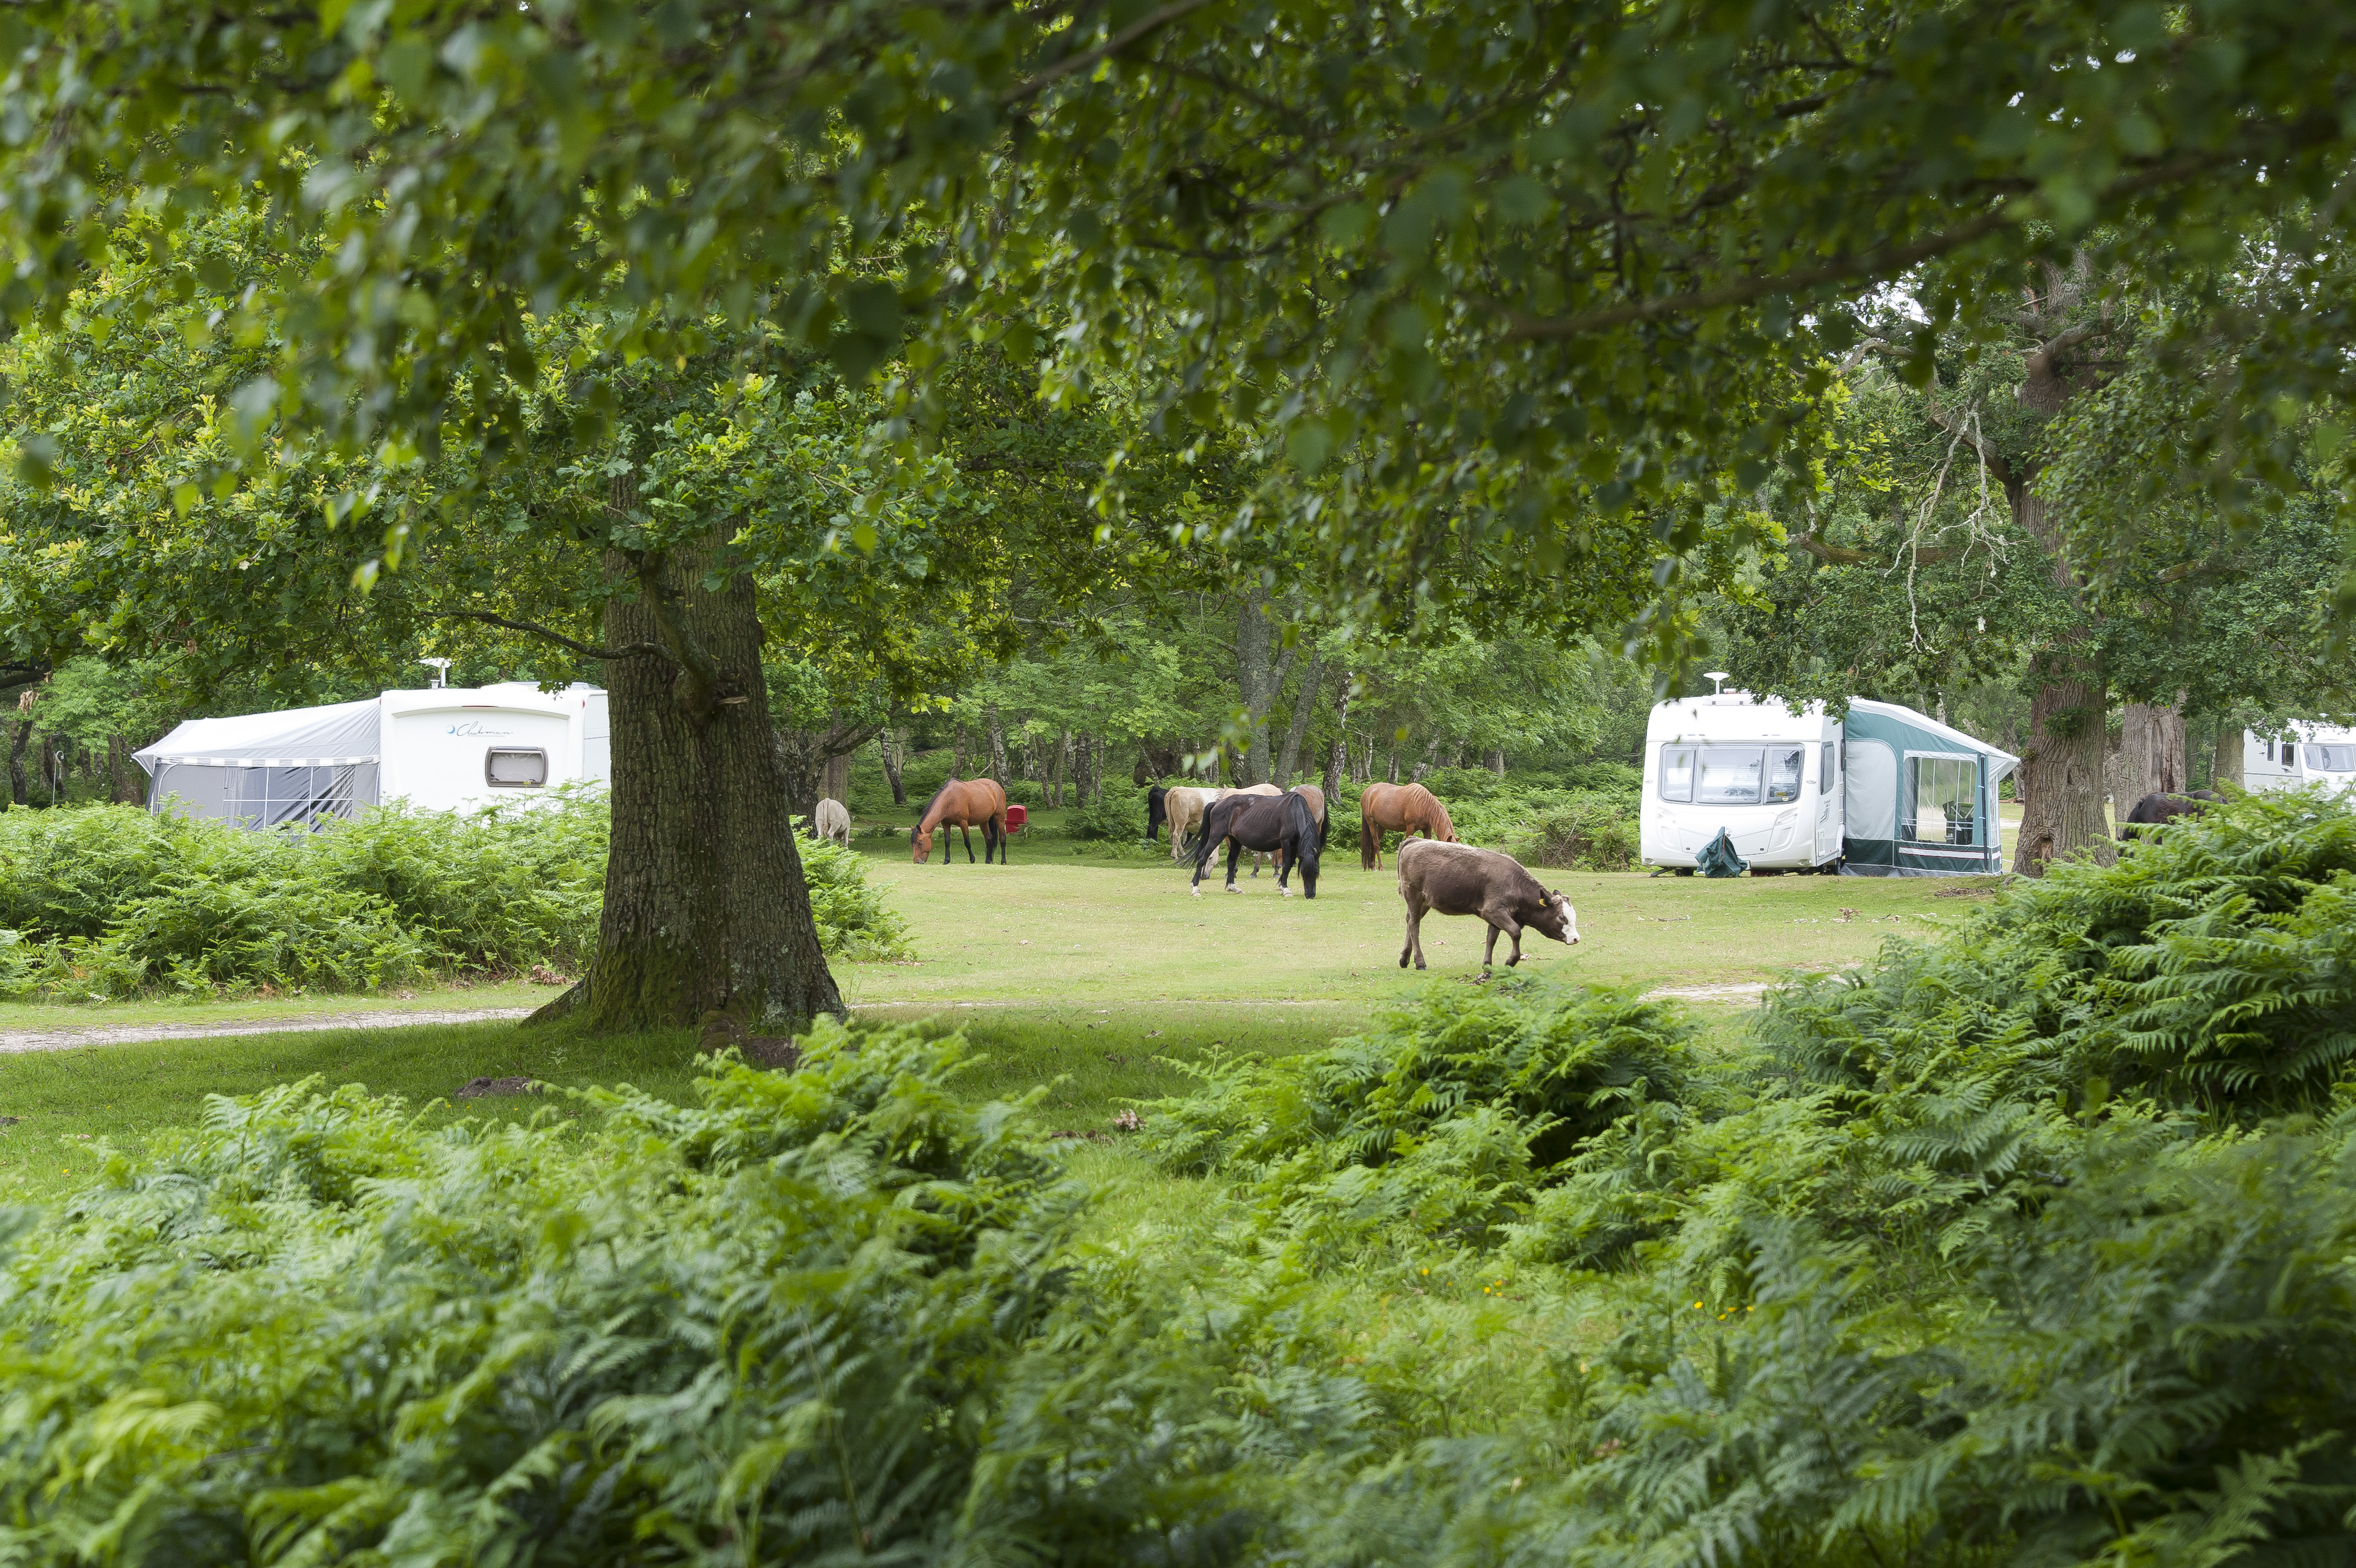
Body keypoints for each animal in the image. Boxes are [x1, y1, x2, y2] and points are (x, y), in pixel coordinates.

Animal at [905, 778, 1008, 863]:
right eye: (912, 844)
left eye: (920, 843)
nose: (917, 862)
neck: (950, 799)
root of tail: (997, 786)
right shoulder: (946, 824)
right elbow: (947, 842)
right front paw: (946, 861)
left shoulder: (963, 823)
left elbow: (967, 842)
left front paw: (972, 859)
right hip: (984, 822)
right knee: (989, 839)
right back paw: (988, 861)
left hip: (999, 818)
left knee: (1002, 839)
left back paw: (1003, 861)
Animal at [1187, 797, 1319, 891]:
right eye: (1304, 873)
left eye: (1316, 872)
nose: (1310, 894)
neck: (1294, 812)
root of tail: (1217, 803)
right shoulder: (1287, 843)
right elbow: (1286, 865)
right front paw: (1285, 889)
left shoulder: (1296, 846)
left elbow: (1290, 865)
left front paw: (1281, 884)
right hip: (1216, 837)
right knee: (1202, 857)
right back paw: (1195, 887)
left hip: (1235, 841)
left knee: (1231, 861)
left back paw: (1232, 887)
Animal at [1357, 778, 1460, 868]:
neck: (1424, 806)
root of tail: (1368, 792)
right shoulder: (1410, 828)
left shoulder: (1427, 829)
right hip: (1371, 822)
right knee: (1376, 844)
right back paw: (1380, 867)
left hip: (1382, 826)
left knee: (1373, 843)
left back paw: (1372, 866)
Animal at [1394, 839, 1583, 971]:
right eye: (1561, 917)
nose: (1576, 938)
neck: (1515, 884)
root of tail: (1415, 840)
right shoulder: (1493, 911)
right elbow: (1516, 932)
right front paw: (1511, 961)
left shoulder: (1496, 917)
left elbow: (1491, 939)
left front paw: (1487, 965)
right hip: (1414, 895)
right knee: (1414, 926)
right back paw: (1420, 962)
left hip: (1425, 902)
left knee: (1409, 921)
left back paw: (1405, 959)